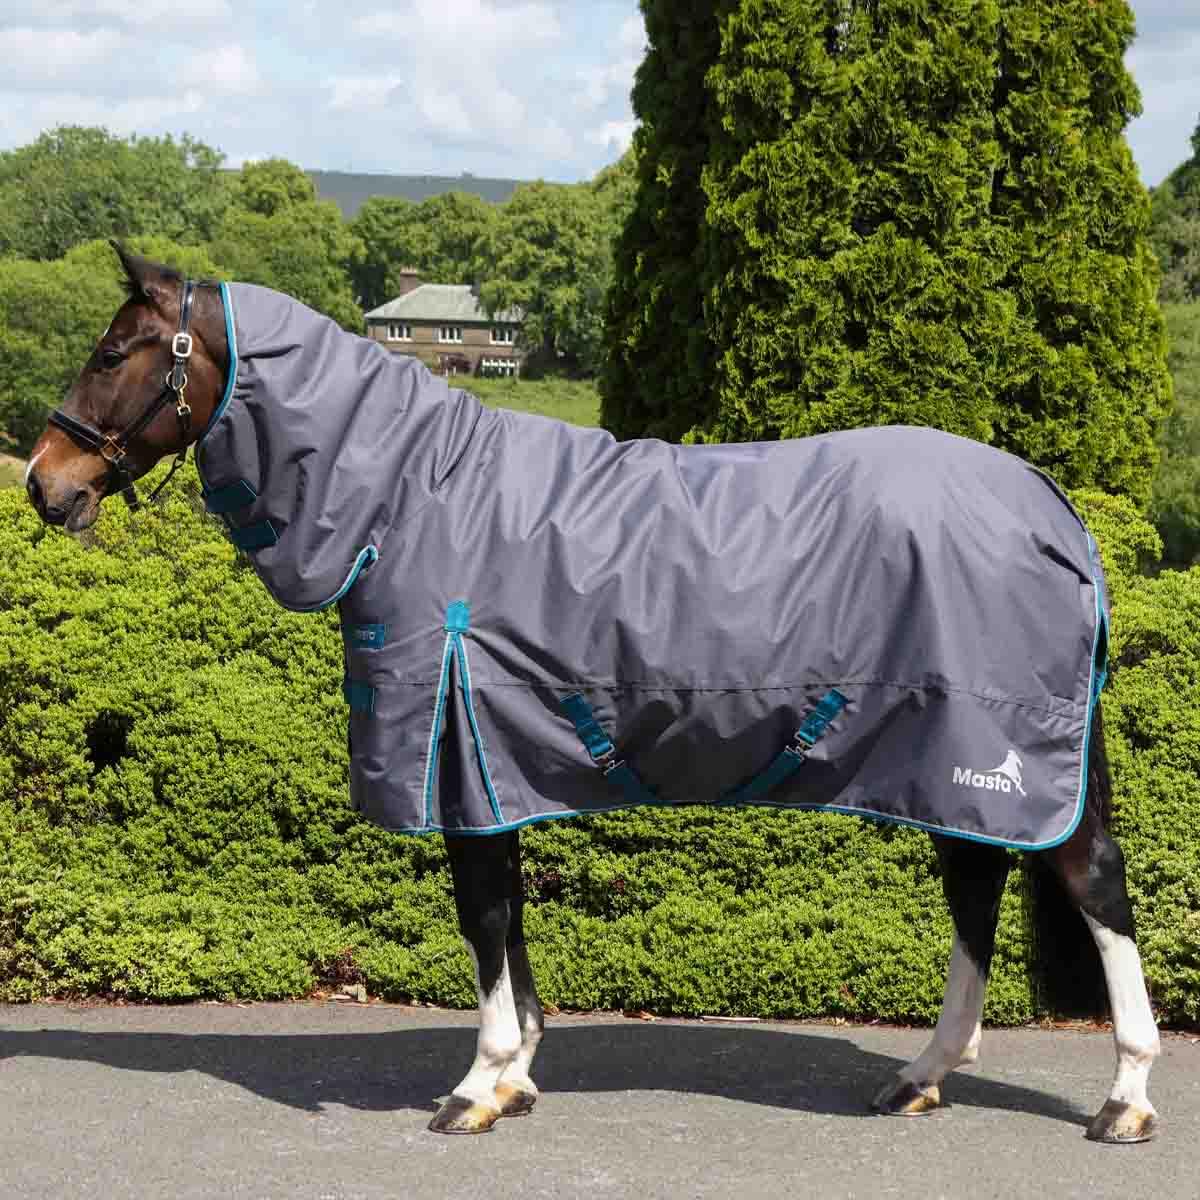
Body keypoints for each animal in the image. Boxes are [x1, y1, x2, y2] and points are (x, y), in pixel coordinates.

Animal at [24, 245, 1160, 1142]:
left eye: (115, 352)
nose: (44, 481)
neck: (415, 496)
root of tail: (1055, 511)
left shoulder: (459, 752)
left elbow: (483, 919)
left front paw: (478, 1088)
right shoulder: (492, 765)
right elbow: (508, 922)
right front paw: (518, 1076)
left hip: (1003, 760)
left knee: (1093, 888)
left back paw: (1126, 1102)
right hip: (947, 765)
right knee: (976, 893)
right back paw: (922, 1078)